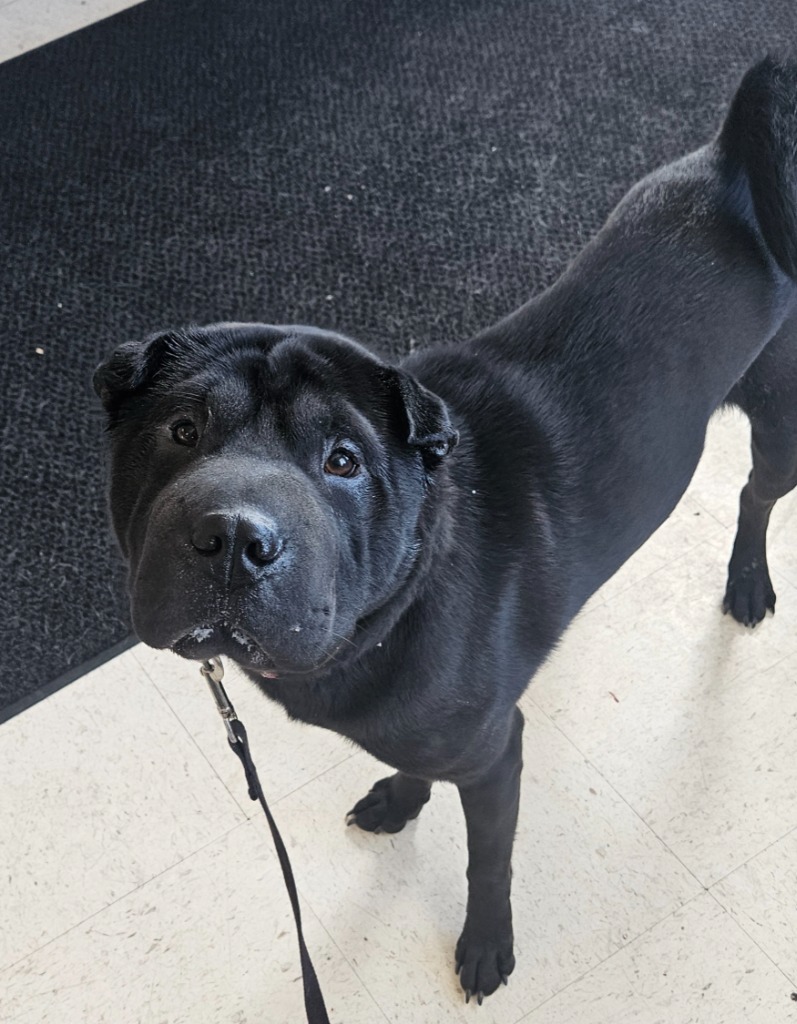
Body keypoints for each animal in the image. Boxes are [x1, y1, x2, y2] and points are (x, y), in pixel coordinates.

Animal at [94, 59, 794, 1003]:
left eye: (344, 461)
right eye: (181, 430)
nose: (234, 537)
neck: (401, 596)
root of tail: (732, 168)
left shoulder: (495, 756)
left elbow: (486, 862)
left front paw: (486, 943)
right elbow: (415, 762)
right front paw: (400, 797)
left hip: (781, 422)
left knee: (755, 496)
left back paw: (747, 581)